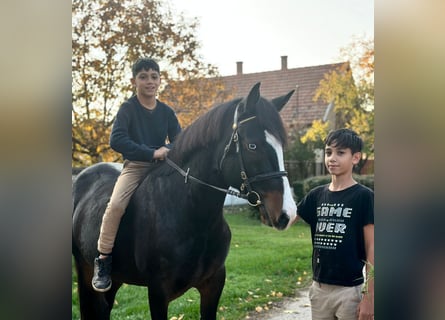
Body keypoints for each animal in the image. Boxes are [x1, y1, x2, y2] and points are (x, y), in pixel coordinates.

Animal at [71, 81, 296, 318]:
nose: (288, 214)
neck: (191, 214)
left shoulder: (213, 285)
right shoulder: (158, 293)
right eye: (252, 145)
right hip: (85, 270)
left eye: (281, 146)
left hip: (116, 278)